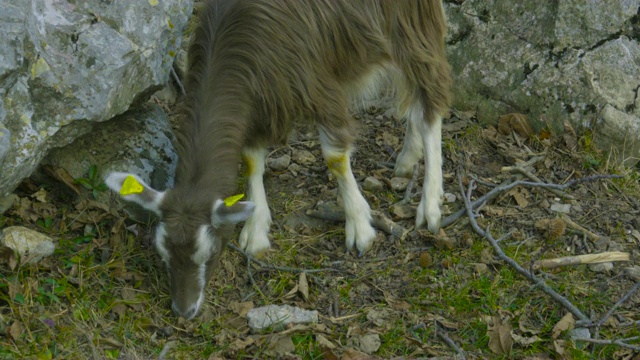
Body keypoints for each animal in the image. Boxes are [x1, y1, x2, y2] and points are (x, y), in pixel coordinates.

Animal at [105, 0, 452, 320]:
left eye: (210, 252)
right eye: (162, 253)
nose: (184, 310)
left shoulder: (317, 86)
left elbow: (335, 158)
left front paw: (359, 227)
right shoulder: (258, 107)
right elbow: (251, 160)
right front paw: (255, 230)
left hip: (412, 25)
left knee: (430, 102)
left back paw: (429, 205)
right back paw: (407, 158)